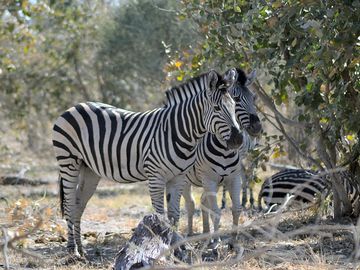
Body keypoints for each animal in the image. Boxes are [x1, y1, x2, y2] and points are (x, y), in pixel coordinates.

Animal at [51, 69, 242, 255]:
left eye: (233, 106)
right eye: (217, 108)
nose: (238, 139)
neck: (178, 131)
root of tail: (76, 106)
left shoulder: (178, 178)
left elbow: (174, 214)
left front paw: (176, 249)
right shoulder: (156, 176)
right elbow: (160, 215)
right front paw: (163, 248)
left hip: (90, 170)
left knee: (78, 204)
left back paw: (82, 250)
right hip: (68, 161)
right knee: (69, 204)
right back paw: (72, 250)